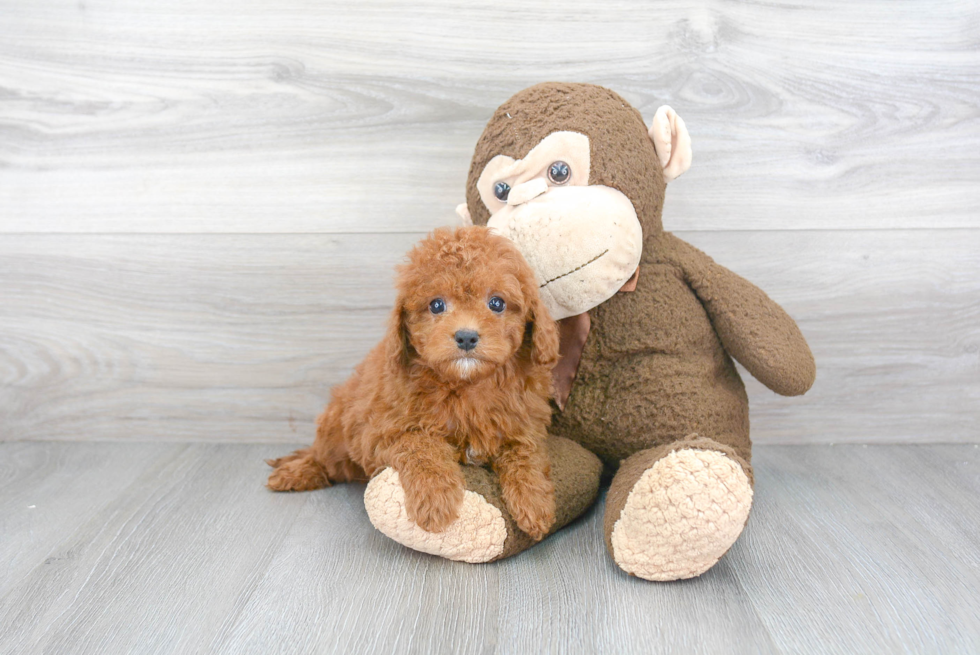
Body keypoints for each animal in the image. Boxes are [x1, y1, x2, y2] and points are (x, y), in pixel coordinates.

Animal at [266, 228, 560, 540]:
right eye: (436, 305)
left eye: (497, 303)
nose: (466, 336)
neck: (466, 384)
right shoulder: (383, 430)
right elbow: (422, 446)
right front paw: (435, 501)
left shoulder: (525, 423)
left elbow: (525, 454)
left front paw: (535, 503)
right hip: (337, 425)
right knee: (325, 458)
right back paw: (295, 473)